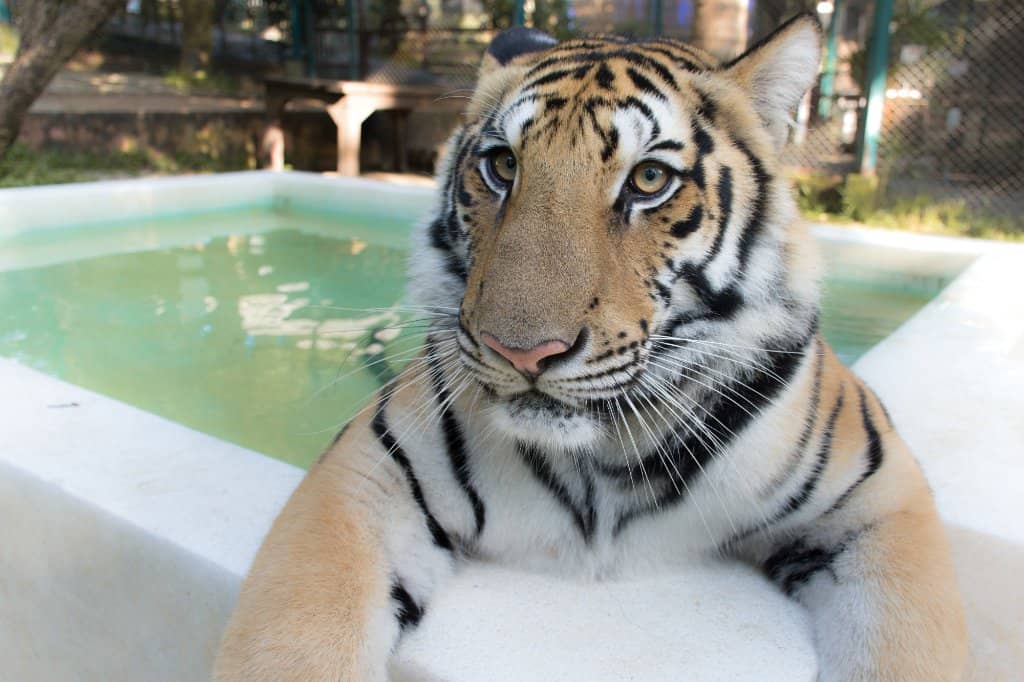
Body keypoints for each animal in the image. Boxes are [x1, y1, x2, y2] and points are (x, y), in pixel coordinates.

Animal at [215, 13, 967, 682]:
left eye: (649, 180)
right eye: (501, 166)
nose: (521, 352)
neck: (604, 458)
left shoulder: (876, 497)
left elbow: (912, 647)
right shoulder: (369, 474)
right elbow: (295, 639)